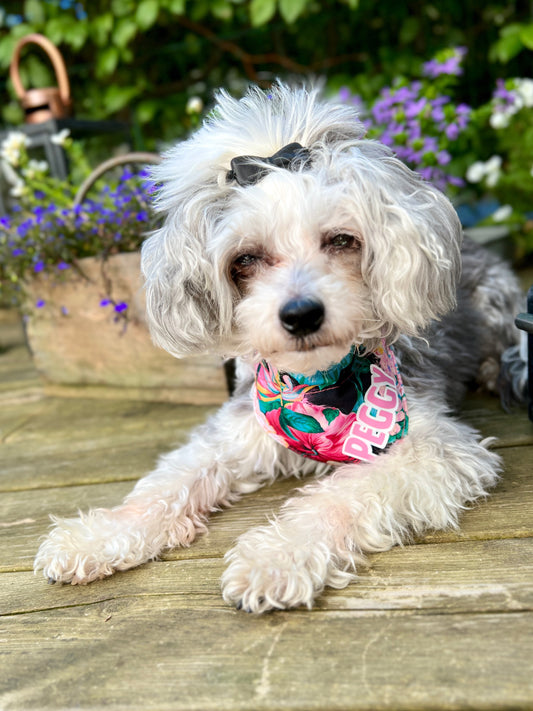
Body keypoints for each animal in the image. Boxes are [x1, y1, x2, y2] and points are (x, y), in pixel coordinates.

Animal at [34, 83, 524, 612]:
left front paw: (276, 557)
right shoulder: (230, 433)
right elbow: (166, 482)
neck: (315, 387)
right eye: (245, 259)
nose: (301, 314)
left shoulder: (433, 450)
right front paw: (98, 535)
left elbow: (342, 496)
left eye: (342, 240)